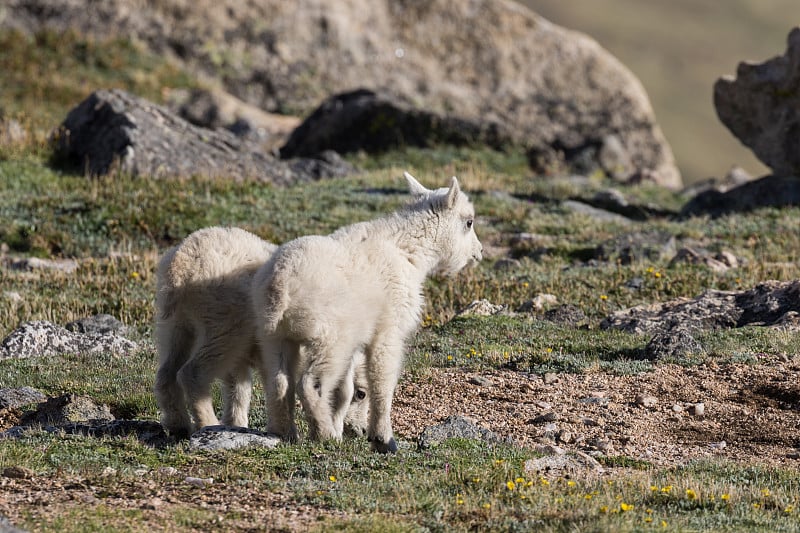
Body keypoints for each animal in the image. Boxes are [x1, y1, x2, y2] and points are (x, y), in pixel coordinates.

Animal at [155, 224, 370, 436]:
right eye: (361, 393)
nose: (360, 431)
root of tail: (181, 266)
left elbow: (240, 385)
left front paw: (237, 423)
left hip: (174, 322)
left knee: (168, 367)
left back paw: (178, 424)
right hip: (224, 317)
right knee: (195, 369)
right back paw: (206, 422)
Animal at [253, 172, 484, 450]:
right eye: (469, 222)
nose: (479, 252)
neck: (407, 250)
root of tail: (281, 285)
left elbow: (345, 389)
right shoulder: (388, 329)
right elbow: (382, 381)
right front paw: (384, 440)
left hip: (273, 335)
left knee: (279, 382)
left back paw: (286, 433)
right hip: (331, 337)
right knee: (310, 383)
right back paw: (323, 433)